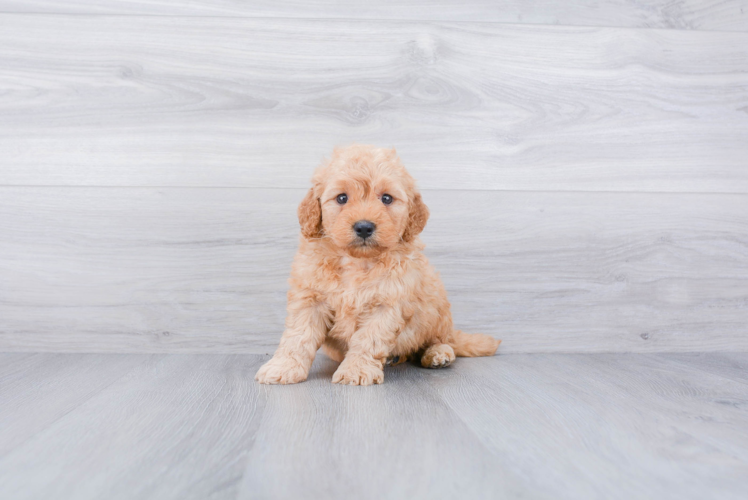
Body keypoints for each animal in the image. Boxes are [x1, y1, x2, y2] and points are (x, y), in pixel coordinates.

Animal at [254, 145, 500, 386]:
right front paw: (283, 367)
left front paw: (356, 370)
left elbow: (368, 339)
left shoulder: (387, 303)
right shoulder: (310, 298)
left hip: (437, 309)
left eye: (387, 198)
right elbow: (297, 336)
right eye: (341, 198)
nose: (364, 227)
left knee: (442, 340)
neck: (356, 260)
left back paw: (438, 354)